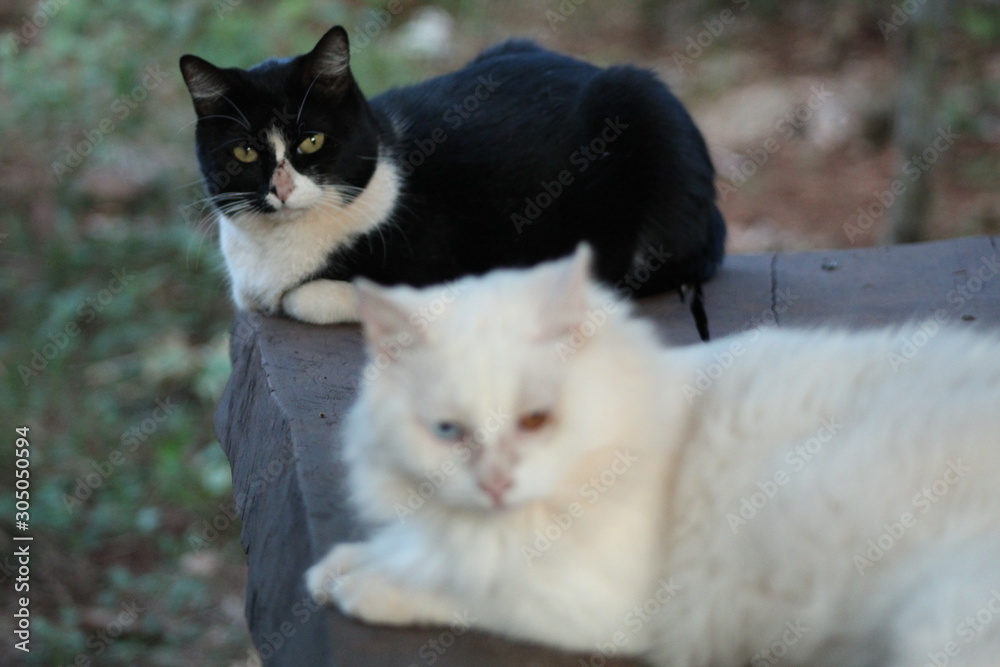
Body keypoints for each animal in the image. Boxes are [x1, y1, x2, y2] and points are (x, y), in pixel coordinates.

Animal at [306, 246, 1000, 666]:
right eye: (448, 431)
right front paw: (340, 568)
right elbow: (414, 549)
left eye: (536, 420)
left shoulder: (595, 604)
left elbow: (465, 588)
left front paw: (365, 587)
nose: (496, 484)